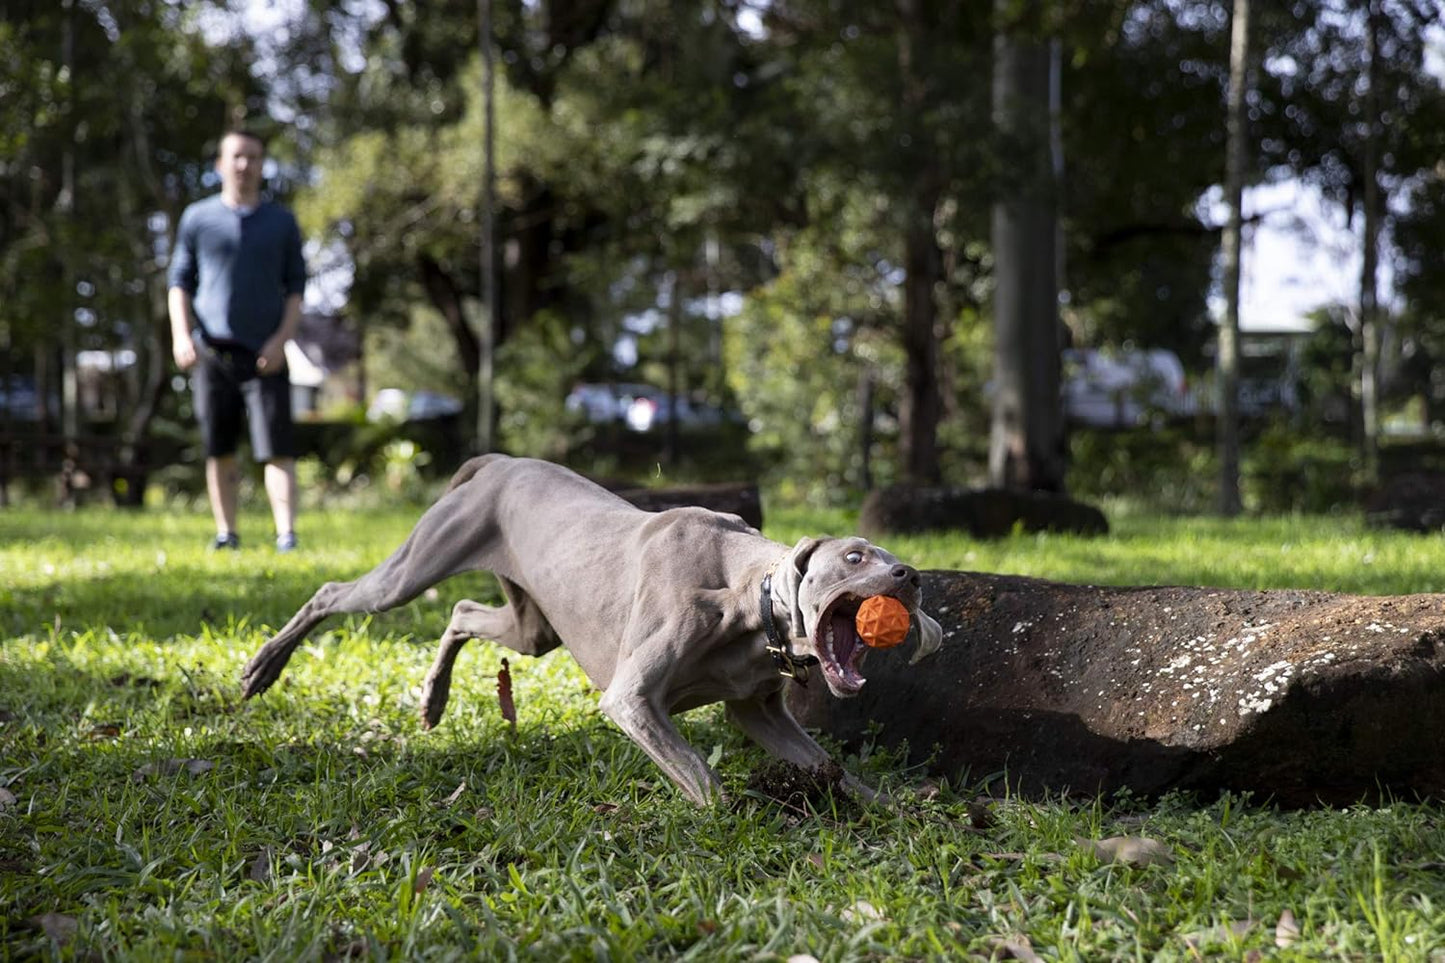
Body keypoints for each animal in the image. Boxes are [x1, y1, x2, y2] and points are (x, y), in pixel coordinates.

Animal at [242, 454, 942, 798]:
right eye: (855, 557)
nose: (910, 574)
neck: (749, 600)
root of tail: (498, 461)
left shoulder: (758, 710)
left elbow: (833, 768)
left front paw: (896, 809)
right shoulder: (632, 699)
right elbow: (704, 779)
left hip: (533, 628)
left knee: (463, 612)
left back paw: (433, 701)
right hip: (414, 569)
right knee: (334, 592)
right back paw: (261, 669)